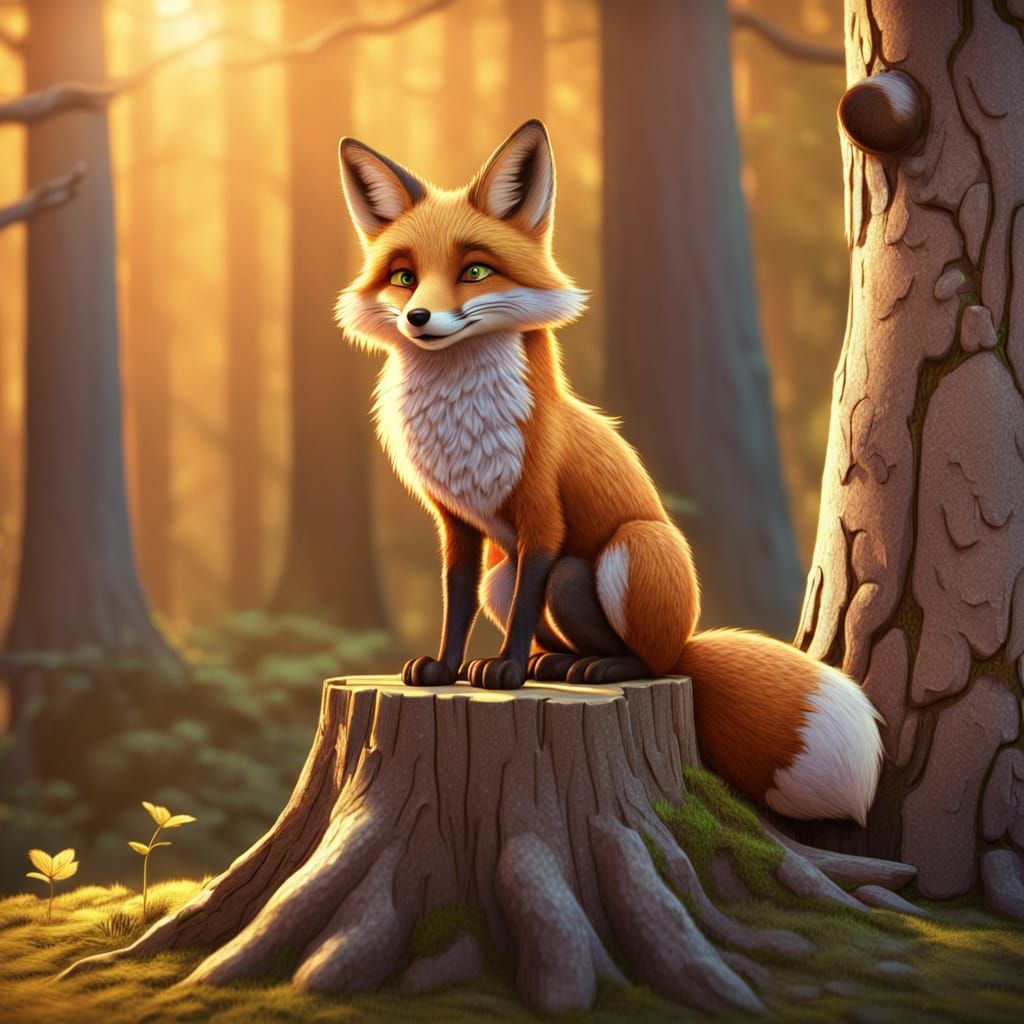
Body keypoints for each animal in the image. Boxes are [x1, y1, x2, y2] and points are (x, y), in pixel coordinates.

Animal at [334, 119, 883, 824]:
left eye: (475, 271)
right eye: (404, 277)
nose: (418, 319)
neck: (464, 423)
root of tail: (687, 642)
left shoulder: (541, 513)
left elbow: (525, 601)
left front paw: (506, 672)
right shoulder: (456, 524)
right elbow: (455, 603)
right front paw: (447, 668)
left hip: (624, 552)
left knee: (639, 653)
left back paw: (593, 667)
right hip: (501, 573)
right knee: (538, 622)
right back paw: (556, 664)